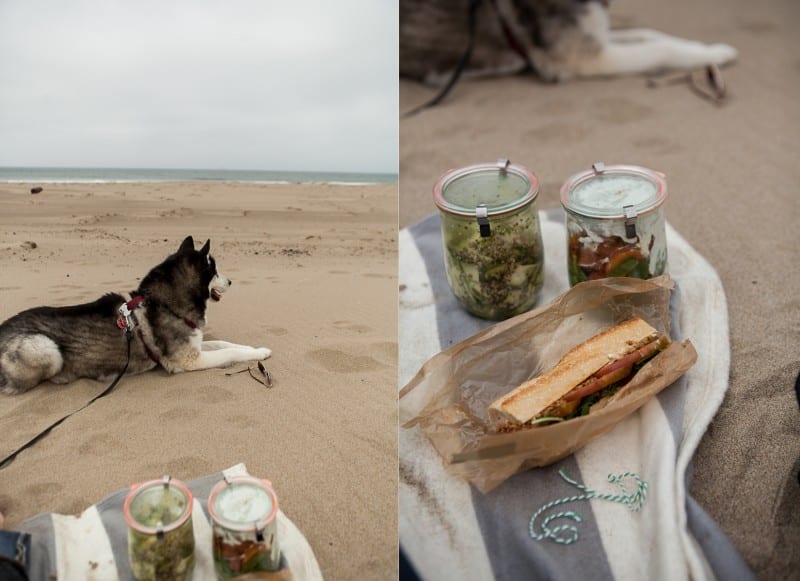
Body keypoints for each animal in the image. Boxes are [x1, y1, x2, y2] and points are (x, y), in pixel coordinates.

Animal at [0, 236, 272, 394]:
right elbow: (229, 353)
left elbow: (225, 343)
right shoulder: (187, 360)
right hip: (46, 348)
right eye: (214, 271)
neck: (166, 303)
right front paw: (255, 354)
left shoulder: (195, 343)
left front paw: (258, 349)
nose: (231, 281)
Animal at [400, 0, 736, 85]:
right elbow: (659, 48)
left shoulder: (597, 33)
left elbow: (652, 34)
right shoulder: (582, 58)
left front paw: (709, 48)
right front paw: (714, 54)